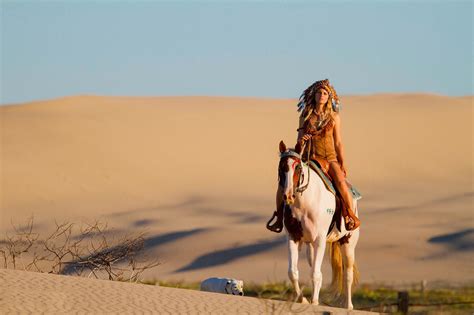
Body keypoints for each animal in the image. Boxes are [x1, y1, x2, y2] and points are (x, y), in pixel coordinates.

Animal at [278, 140, 360, 308]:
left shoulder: (320, 240)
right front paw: (303, 299)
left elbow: (315, 274)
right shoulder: (293, 238)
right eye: (281, 167)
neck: (304, 203)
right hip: (310, 246)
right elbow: (293, 272)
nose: (288, 195)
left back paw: (348, 306)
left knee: (347, 274)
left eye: (298, 167)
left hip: (347, 243)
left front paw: (314, 302)